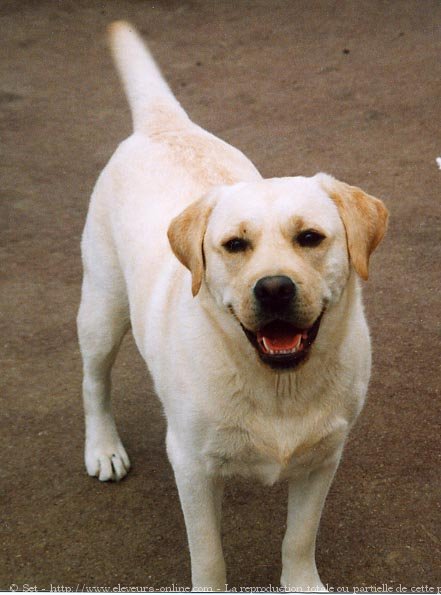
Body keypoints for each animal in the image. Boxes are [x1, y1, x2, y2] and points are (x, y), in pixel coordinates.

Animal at [77, 22, 386, 592]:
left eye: (310, 237)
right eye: (235, 245)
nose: (274, 289)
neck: (278, 386)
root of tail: (165, 124)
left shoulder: (323, 459)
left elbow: (299, 537)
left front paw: (301, 581)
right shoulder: (191, 467)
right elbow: (209, 555)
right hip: (102, 309)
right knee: (94, 381)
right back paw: (103, 447)